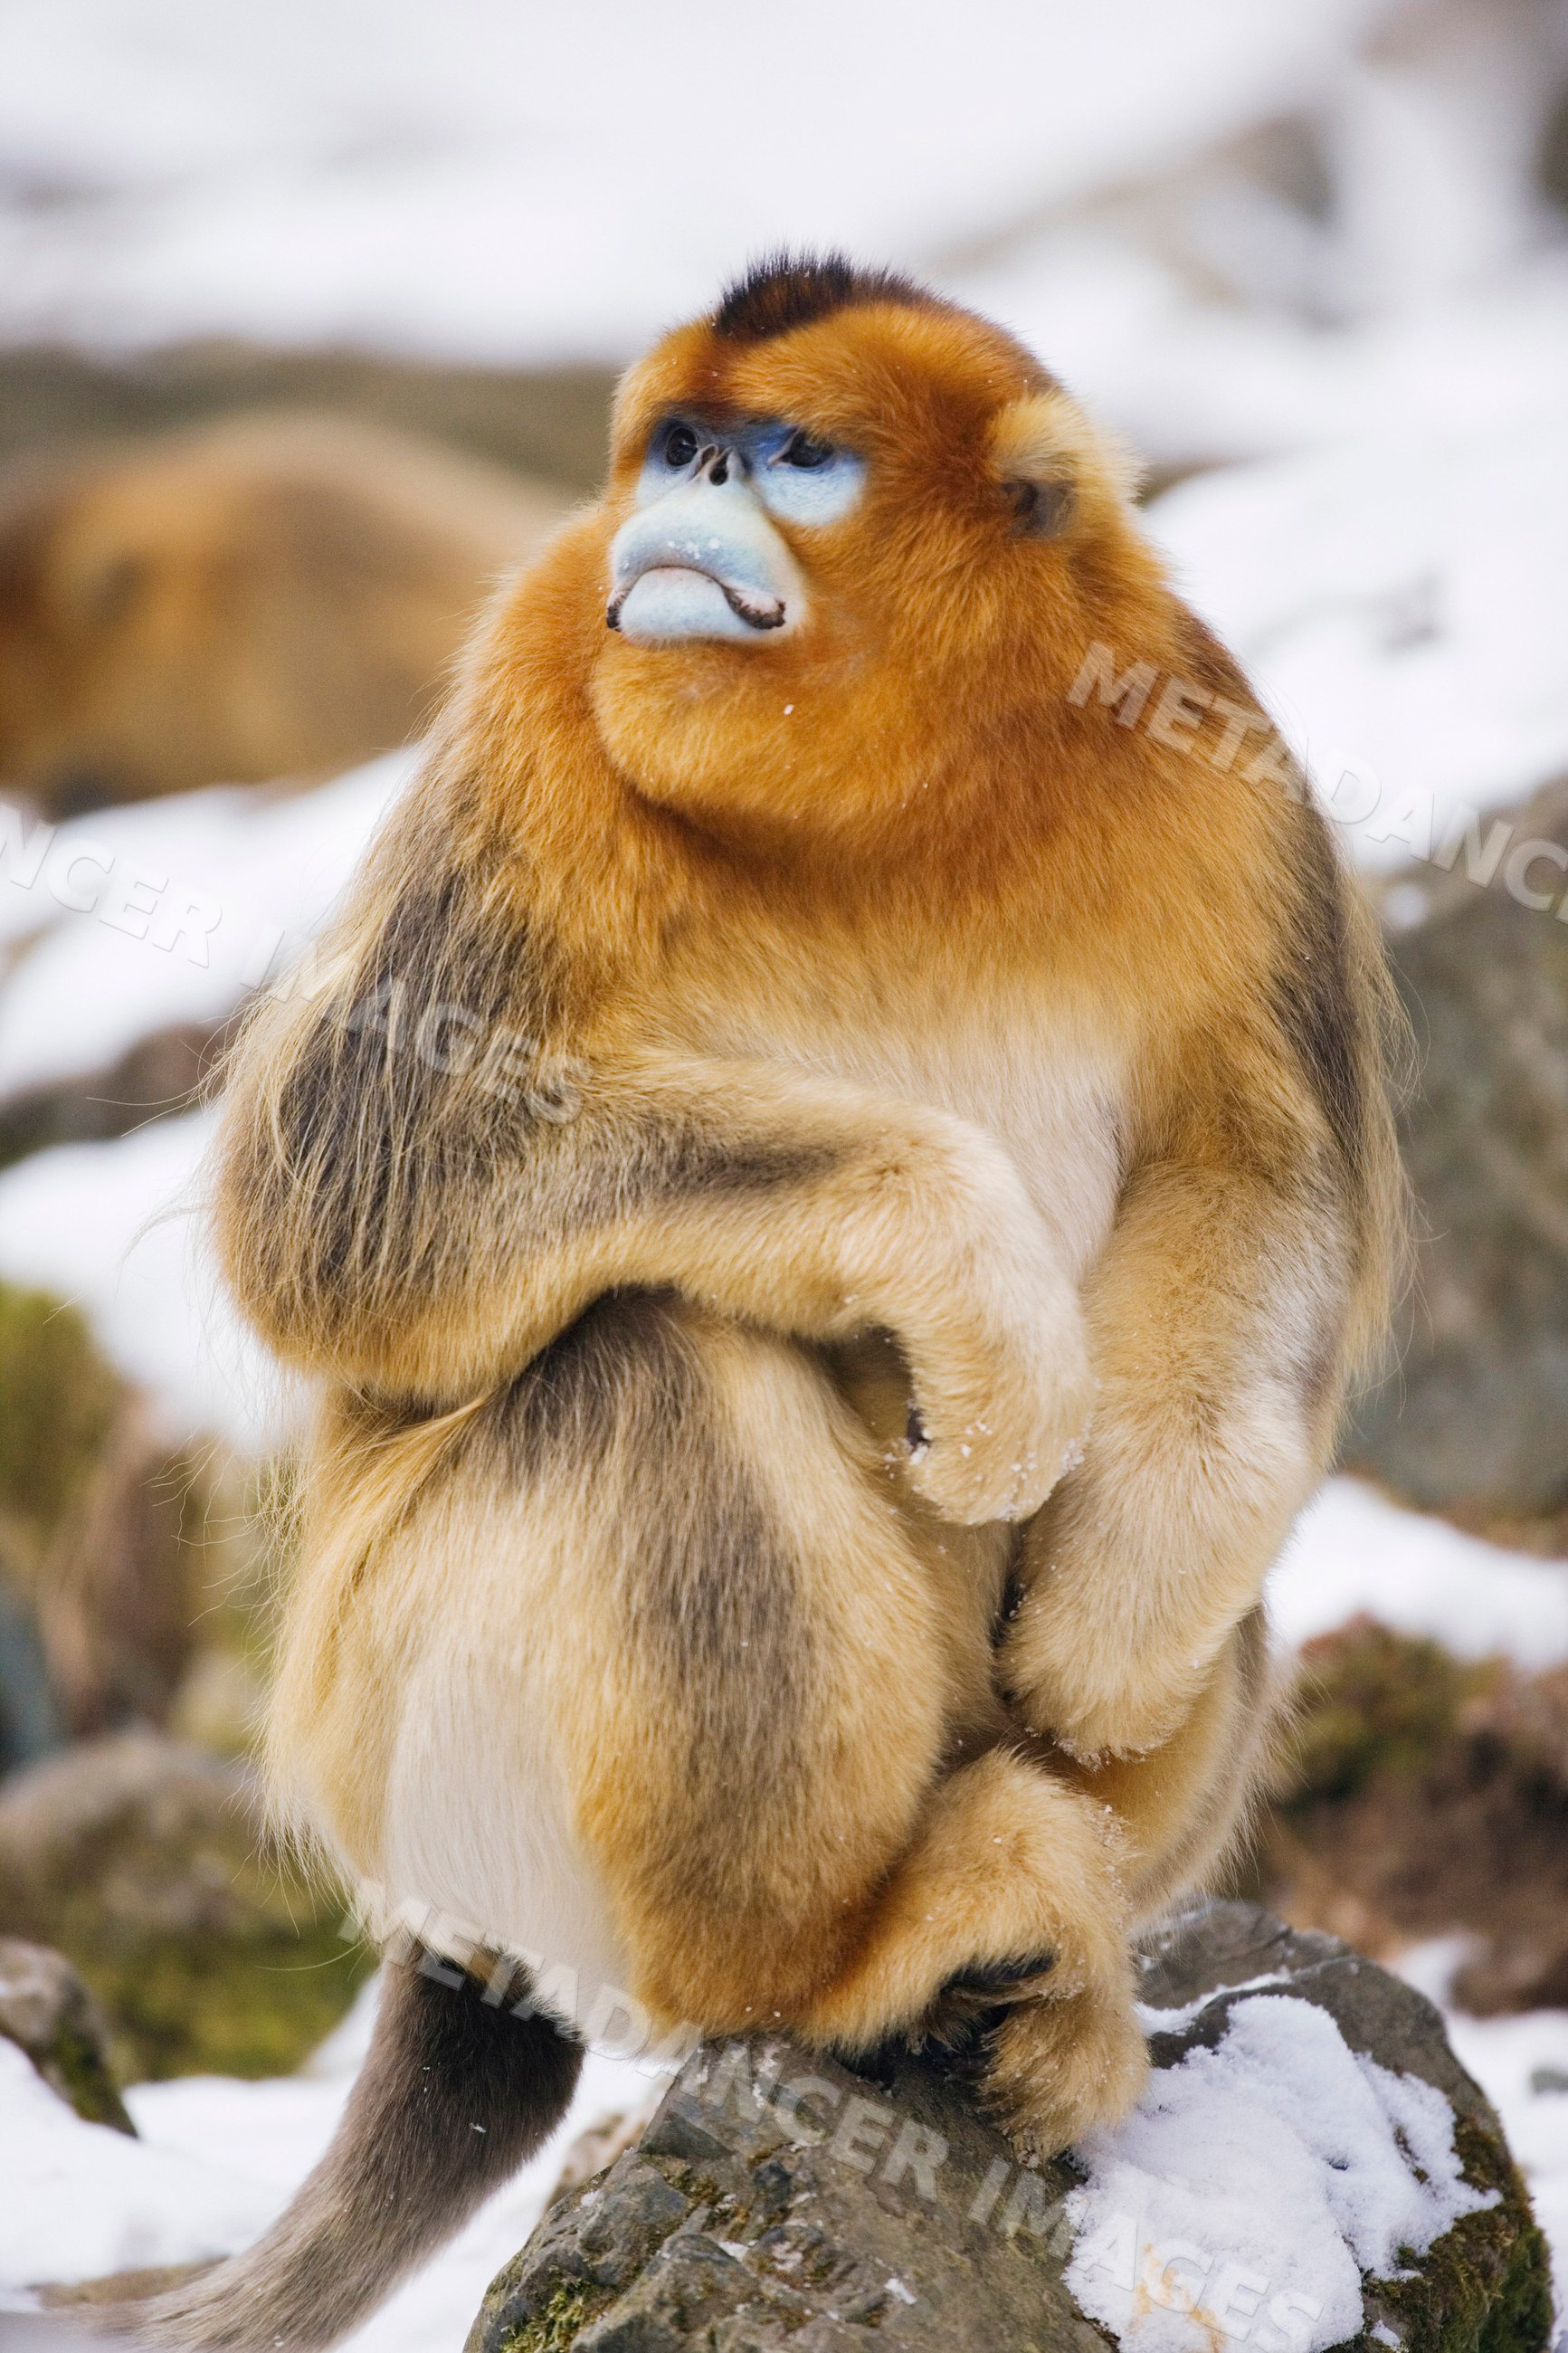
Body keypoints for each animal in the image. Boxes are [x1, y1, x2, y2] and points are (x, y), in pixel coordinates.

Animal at [123, 254, 1402, 2352]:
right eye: (675, 450)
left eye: (786, 456)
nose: (685, 505)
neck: (899, 794)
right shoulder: (537, 680)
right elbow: (354, 1188)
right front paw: (965, 1280)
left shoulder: (1227, 763)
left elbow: (1252, 1186)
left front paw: (1106, 1631)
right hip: (400, 1759)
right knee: (642, 1361)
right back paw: (851, 1960)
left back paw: (1036, 1971)